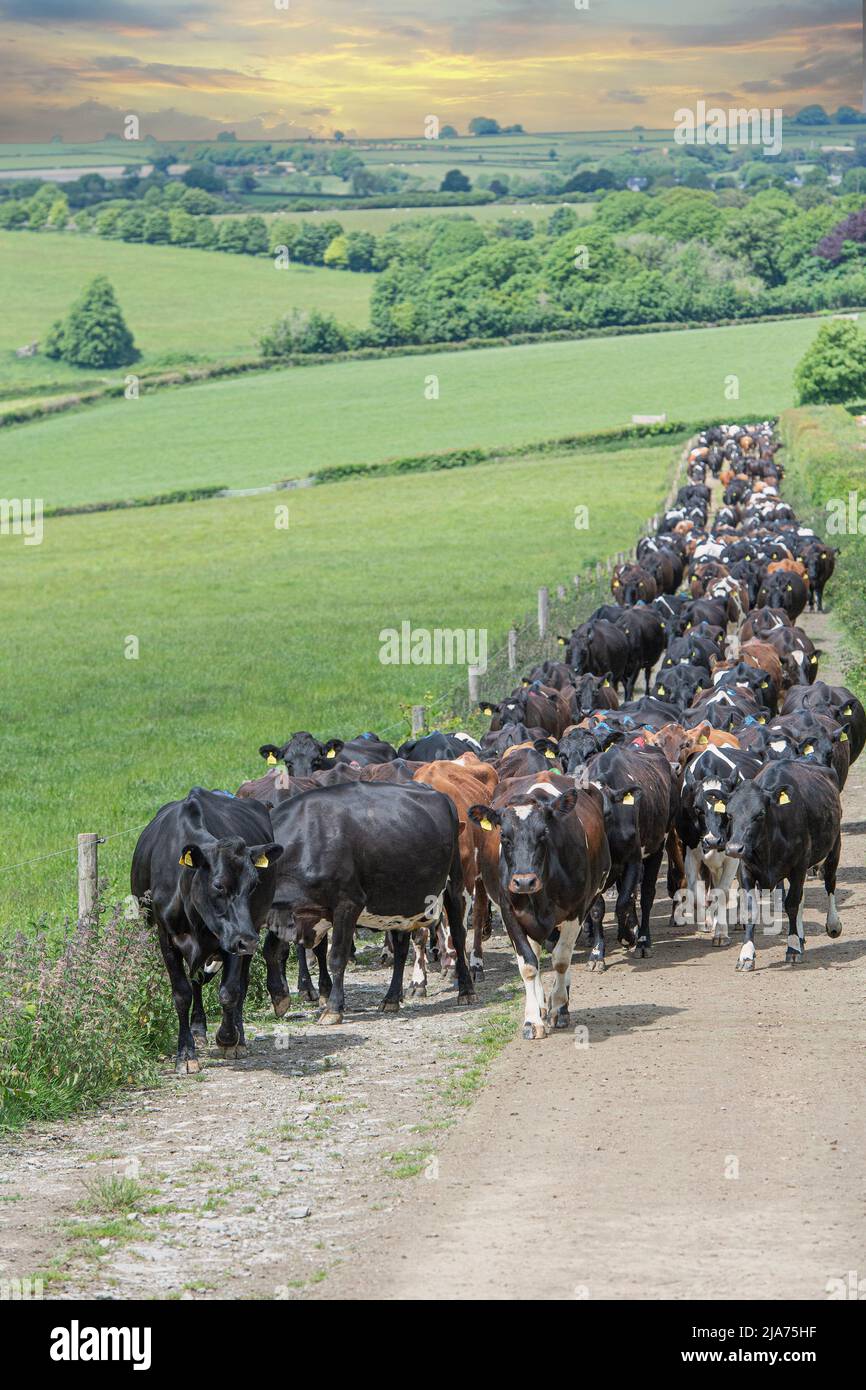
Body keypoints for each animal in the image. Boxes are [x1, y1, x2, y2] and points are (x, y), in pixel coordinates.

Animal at [130, 795, 283, 1073]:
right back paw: (198, 1030)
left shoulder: (231, 938)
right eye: (218, 885)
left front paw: (228, 1038)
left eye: (254, 884)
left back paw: (238, 1037)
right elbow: (182, 994)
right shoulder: (166, 937)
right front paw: (186, 1054)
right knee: (197, 981)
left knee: (240, 984)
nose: (249, 941)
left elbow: (230, 990)